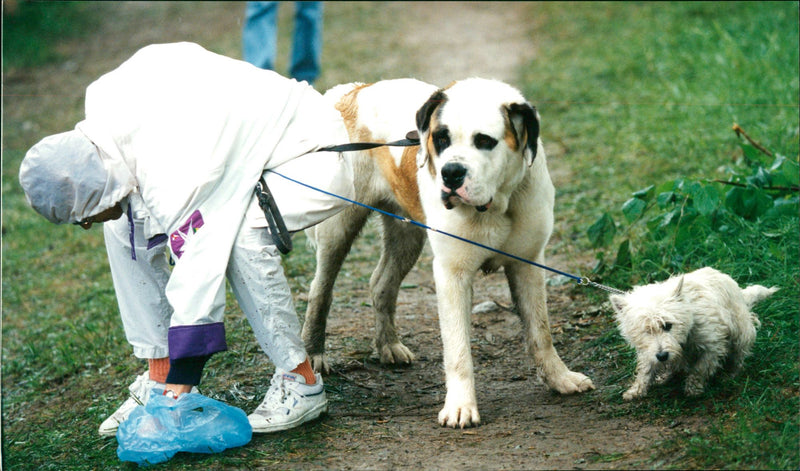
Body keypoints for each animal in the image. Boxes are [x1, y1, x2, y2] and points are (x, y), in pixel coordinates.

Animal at [300, 79, 592, 430]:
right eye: (441, 139)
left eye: (484, 141)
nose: (451, 173)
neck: (497, 204)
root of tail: (351, 92)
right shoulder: (453, 274)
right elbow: (457, 349)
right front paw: (460, 407)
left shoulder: (528, 264)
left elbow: (541, 331)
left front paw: (560, 378)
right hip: (339, 226)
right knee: (321, 289)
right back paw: (314, 353)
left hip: (406, 234)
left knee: (381, 283)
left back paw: (389, 346)